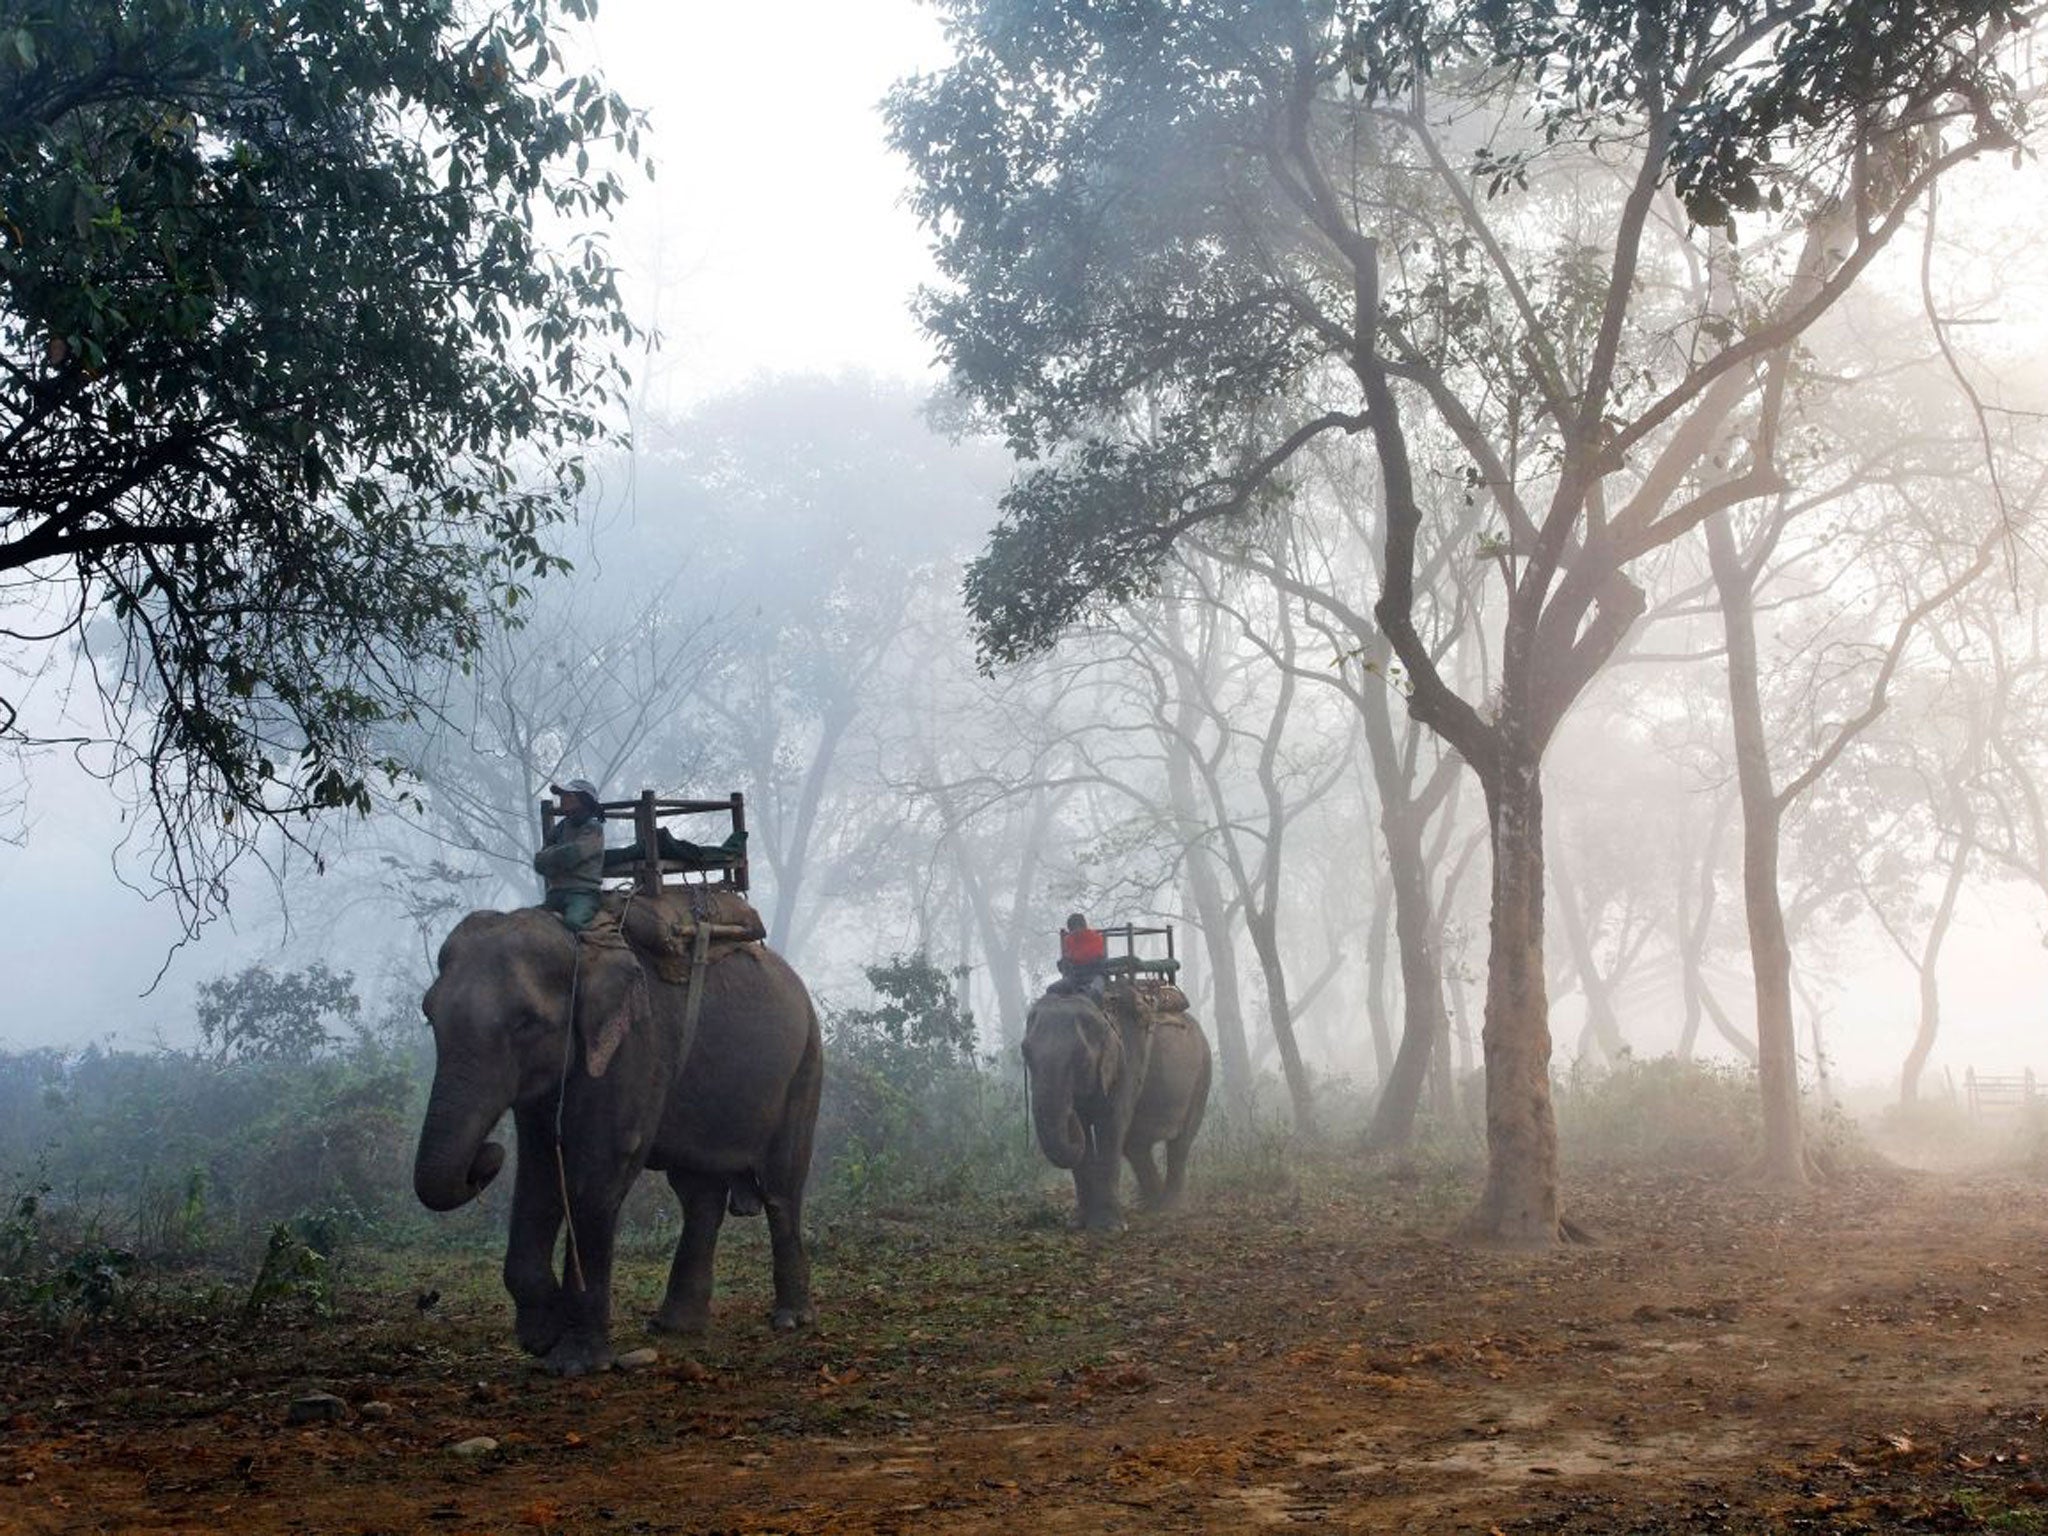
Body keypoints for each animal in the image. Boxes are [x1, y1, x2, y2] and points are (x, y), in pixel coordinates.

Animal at [407, 909, 823, 1376]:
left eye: (526, 1023)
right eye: (429, 1015)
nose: (487, 1154)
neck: (579, 941)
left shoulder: (636, 1047)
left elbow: (597, 1174)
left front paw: (575, 1363)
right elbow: (538, 1175)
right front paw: (542, 1337)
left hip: (805, 1065)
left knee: (781, 1187)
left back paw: (790, 1319)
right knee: (698, 1195)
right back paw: (675, 1326)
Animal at [1019, 991, 1204, 1236]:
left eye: (1081, 1057)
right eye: (1025, 1052)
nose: (1071, 1113)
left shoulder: (1127, 1061)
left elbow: (1111, 1123)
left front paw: (1109, 1227)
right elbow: (1087, 1138)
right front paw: (1077, 1223)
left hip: (1201, 1077)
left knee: (1180, 1143)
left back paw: (1170, 1206)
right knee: (1135, 1147)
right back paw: (1152, 1203)